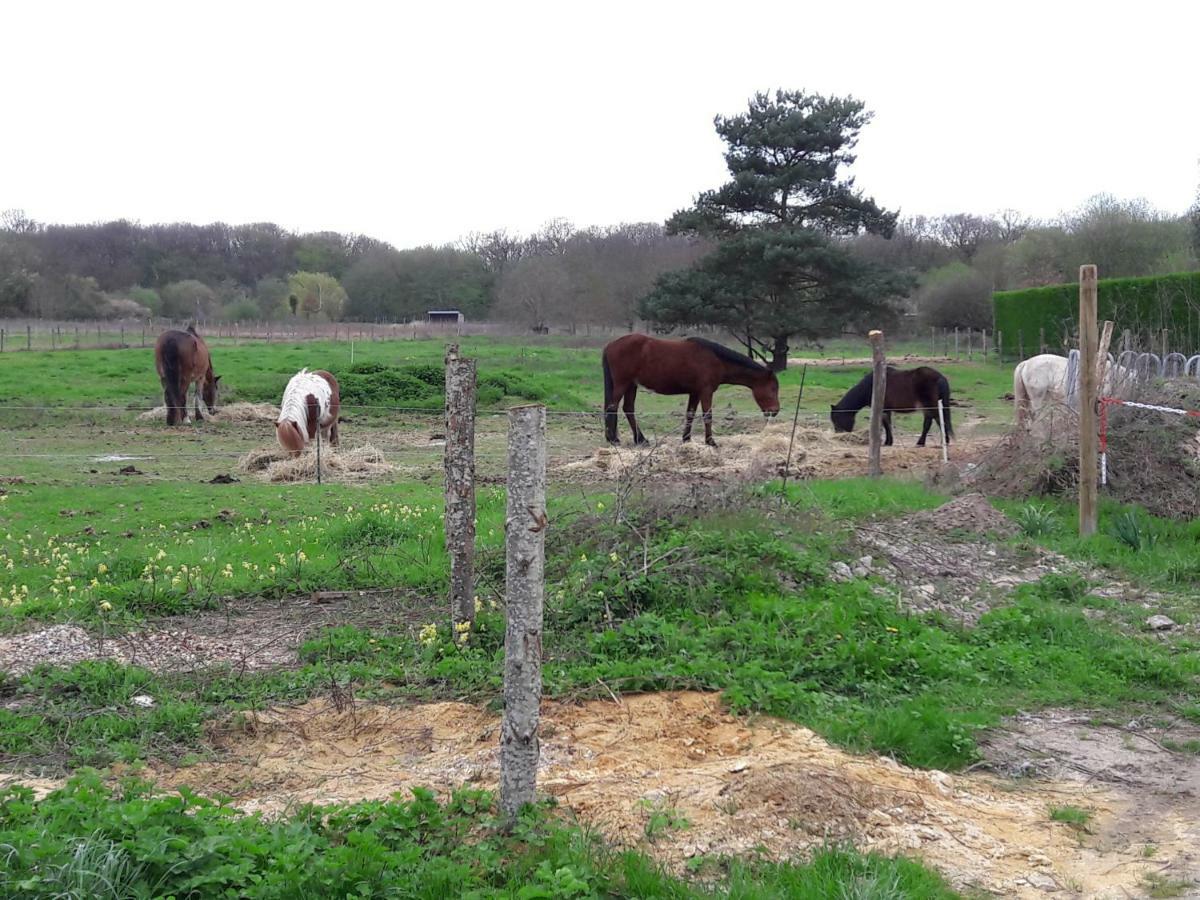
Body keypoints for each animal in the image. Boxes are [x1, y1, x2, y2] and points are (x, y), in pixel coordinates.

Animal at [604, 336, 782, 448]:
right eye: (773, 388)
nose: (775, 411)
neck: (716, 360)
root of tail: (610, 345)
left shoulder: (695, 393)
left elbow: (690, 414)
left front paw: (686, 439)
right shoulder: (706, 392)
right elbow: (707, 416)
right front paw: (711, 442)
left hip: (631, 385)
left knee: (628, 409)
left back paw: (640, 440)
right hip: (623, 384)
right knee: (612, 407)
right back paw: (613, 439)